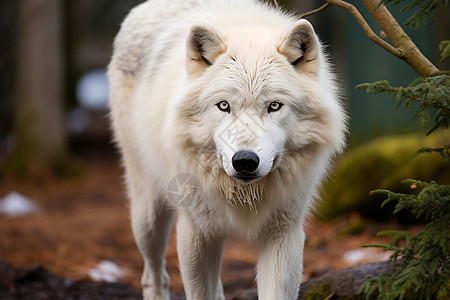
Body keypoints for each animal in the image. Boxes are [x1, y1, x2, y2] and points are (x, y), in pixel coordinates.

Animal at [108, 0, 344, 298]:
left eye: (274, 106)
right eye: (223, 105)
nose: (244, 160)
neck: (244, 197)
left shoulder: (284, 234)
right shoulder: (196, 232)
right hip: (148, 217)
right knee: (153, 275)